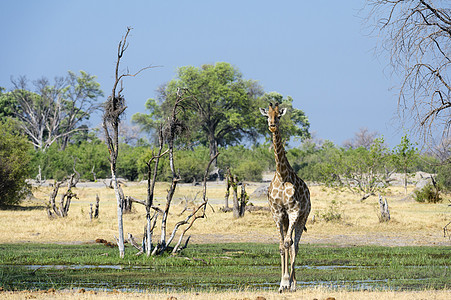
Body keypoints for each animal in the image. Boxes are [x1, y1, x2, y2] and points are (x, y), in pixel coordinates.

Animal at [262, 103, 310, 292]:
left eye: (279, 116)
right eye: (267, 115)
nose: (272, 125)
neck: (282, 176)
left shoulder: (294, 211)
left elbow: (289, 244)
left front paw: (287, 281)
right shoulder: (277, 213)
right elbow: (282, 246)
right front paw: (282, 283)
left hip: (302, 218)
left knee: (296, 246)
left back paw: (294, 284)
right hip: (285, 220)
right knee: (289, 246)